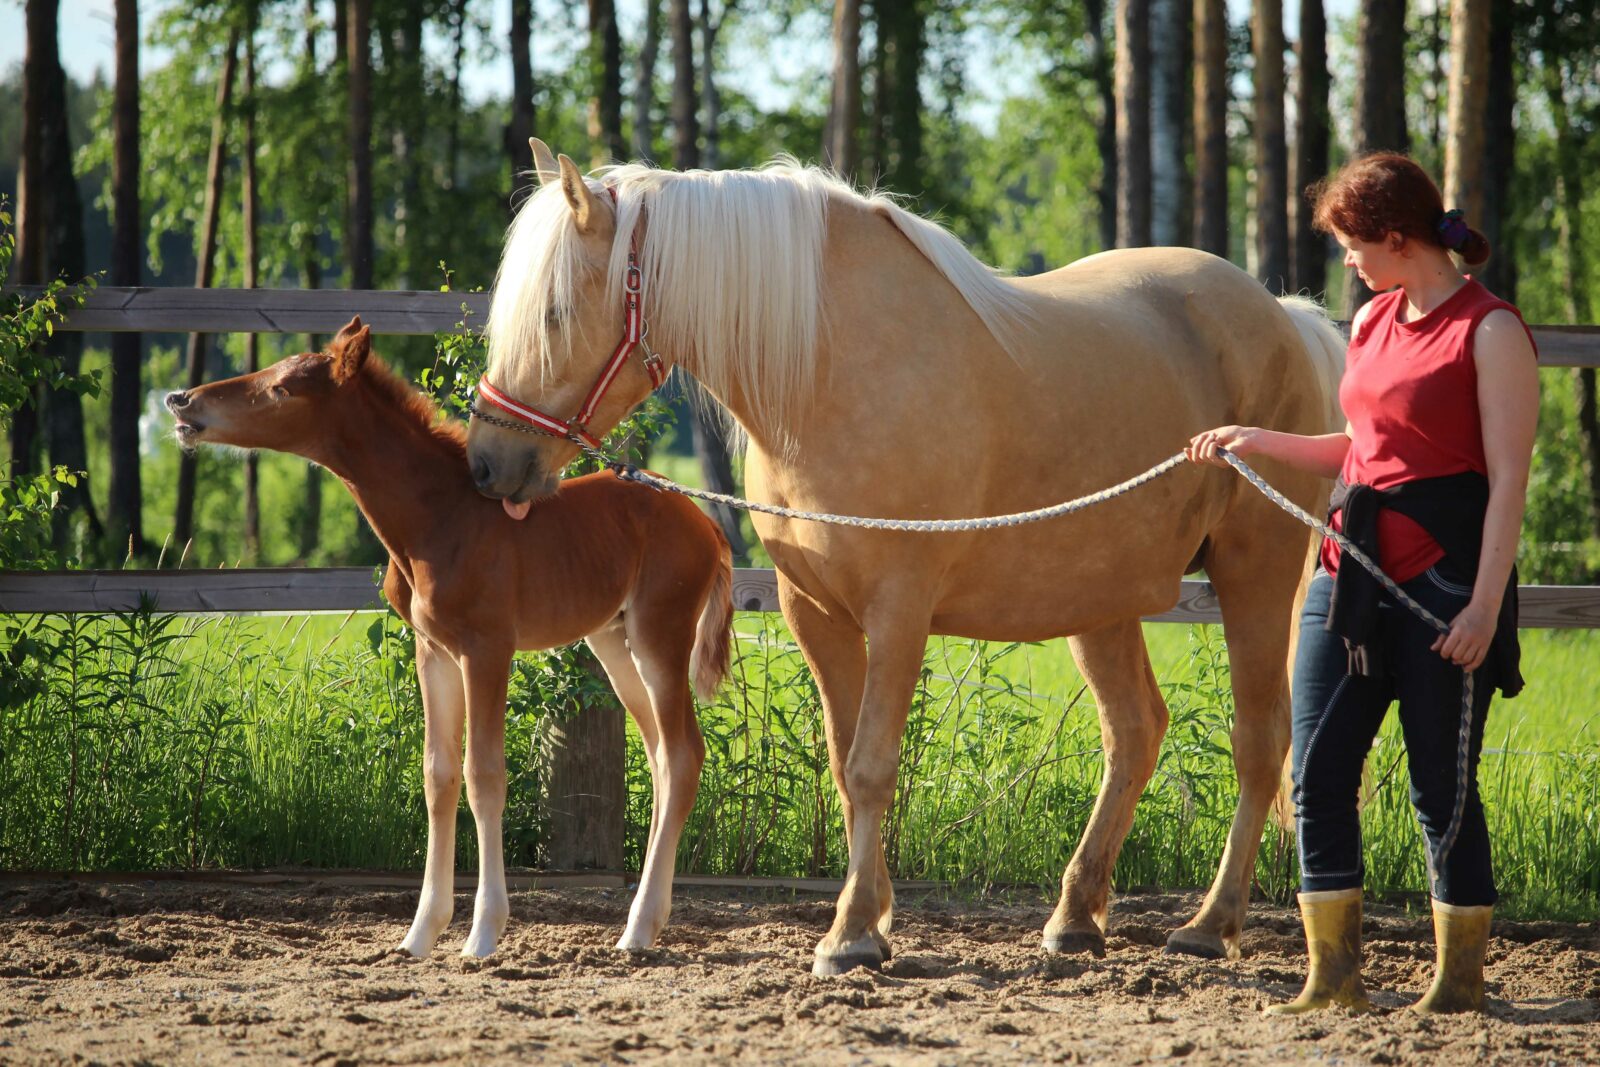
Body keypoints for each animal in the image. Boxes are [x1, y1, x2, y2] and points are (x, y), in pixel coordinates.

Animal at [167, 316, 732, 959]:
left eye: (283, 389)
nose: (182, 402)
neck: (438, 521)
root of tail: (705, 520)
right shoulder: (433, 651)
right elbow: (437, 775)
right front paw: (420, 932)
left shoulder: (486, 650)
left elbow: (483, 776)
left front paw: (483, 932)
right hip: (613, 643)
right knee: (661, 756)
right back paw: (647, 919)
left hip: (660, 632)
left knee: (683, 755)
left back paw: (637, 929)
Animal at [467, 143, 1344, 979]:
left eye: (554, 311)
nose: (486, 463)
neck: (831, 368)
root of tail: (1285, 316)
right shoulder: (812, 611)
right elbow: (843, 759)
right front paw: (875, 914)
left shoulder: (899, 611)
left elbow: (869, 767)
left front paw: (851, 934)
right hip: (1099, 598)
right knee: (1134, 732)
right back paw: (1074, 919)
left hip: (1255, 572)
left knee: (1258, 740)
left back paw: (1209, 924)